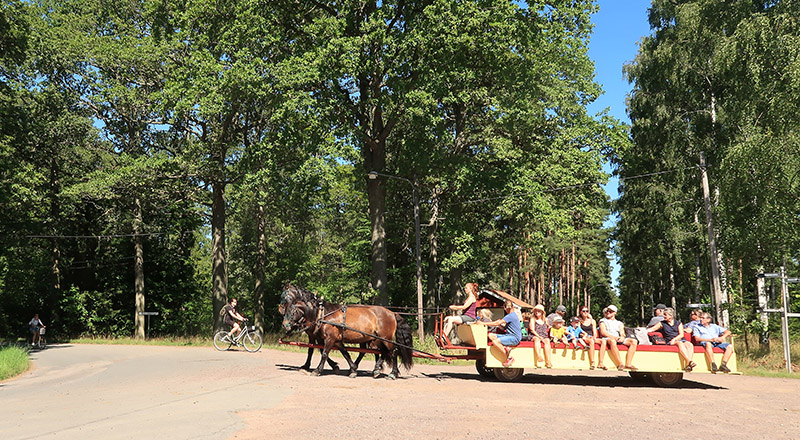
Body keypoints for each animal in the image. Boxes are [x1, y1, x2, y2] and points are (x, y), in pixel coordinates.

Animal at [280, 284, 416, 380]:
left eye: (291, 310)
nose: (284, 324)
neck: (322, 314)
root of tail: (392, 313)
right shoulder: (336, 340)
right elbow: (345, 353)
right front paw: (352, 369)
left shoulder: (329, 338)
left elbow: (323, 353)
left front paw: (317, 370)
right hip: (376, 339)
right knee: (381, 352)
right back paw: (377, 370)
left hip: (385, 338)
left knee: (393, 352)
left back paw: (393, 373)